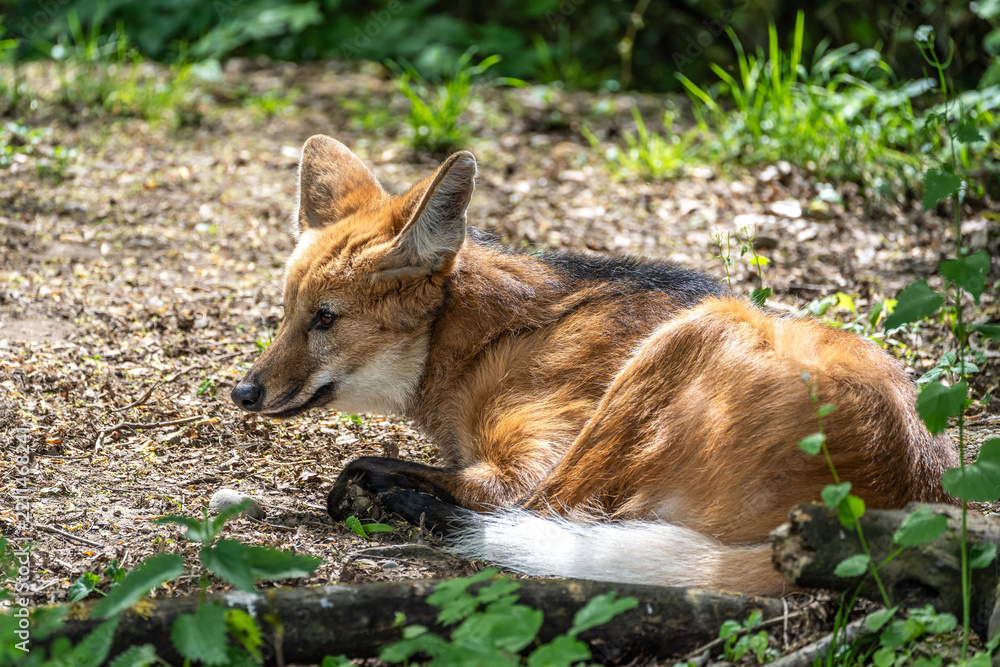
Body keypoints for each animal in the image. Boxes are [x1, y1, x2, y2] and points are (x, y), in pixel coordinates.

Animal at [231, 135, 957, 595]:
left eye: (325, 319)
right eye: (287, 313)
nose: (244, 390)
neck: (477, 340)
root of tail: (902, 490)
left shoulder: (526, 466)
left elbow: (394, 469)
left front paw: (367, 491)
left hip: (686, 344)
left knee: (546, 514)